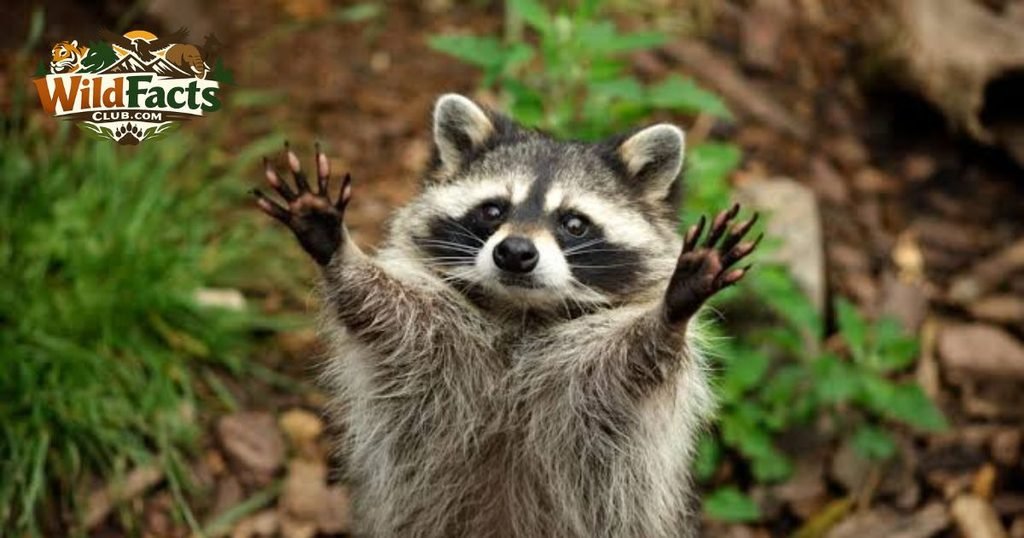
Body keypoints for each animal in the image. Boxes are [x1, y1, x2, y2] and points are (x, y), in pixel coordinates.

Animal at [254, 94, 760, 538]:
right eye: (493, 210)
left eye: (574, 223)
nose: (515, 252)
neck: (521, 312)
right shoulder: (433, 336)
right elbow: (381, 310)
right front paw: (339, 253)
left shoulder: (598, 380)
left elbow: (638, 361)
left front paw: (673, 310)